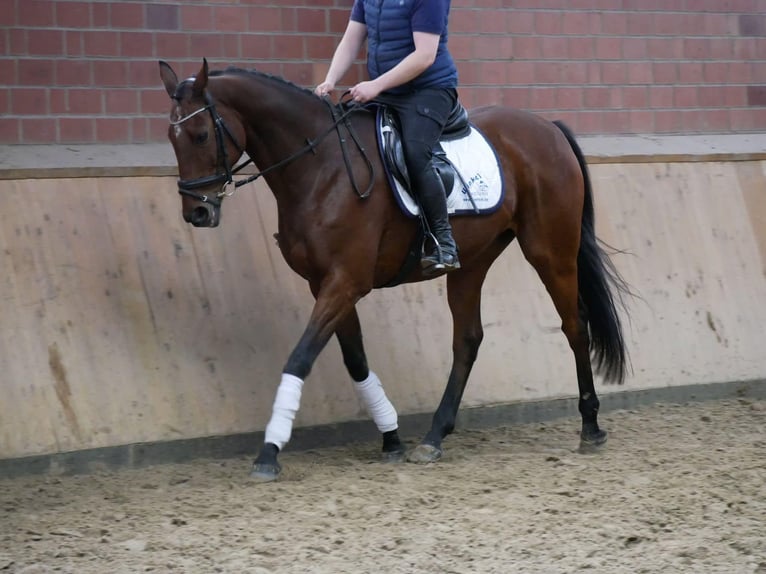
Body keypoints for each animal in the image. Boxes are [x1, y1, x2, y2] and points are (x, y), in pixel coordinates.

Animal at [160, 58, 632, 484]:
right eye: (171, 137)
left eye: (201, 135)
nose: (196, 213)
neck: (320, 166)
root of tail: (547, 127)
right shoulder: (325, 284)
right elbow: (355, 360)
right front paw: (391, 438)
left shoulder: (345, 282)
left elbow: (300, 357)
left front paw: (269, 451)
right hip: (472, 261)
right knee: (468, 339)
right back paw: (434, 436)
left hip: (549, 251)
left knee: (575, 326)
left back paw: (590, 427)